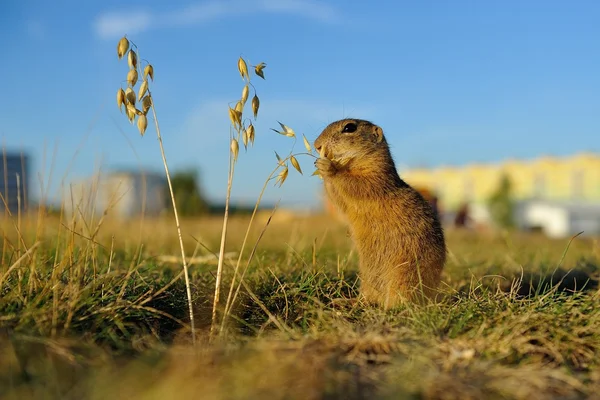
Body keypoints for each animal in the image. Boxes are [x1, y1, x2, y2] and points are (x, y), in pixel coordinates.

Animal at [314, 118, 446, 306]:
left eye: (349, 128)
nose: (317, 145)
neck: (355, 162)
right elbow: (338, 199)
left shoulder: (377, 176)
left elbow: (357, 183)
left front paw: (329, 167)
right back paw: (347, 301)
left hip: (405, 275)